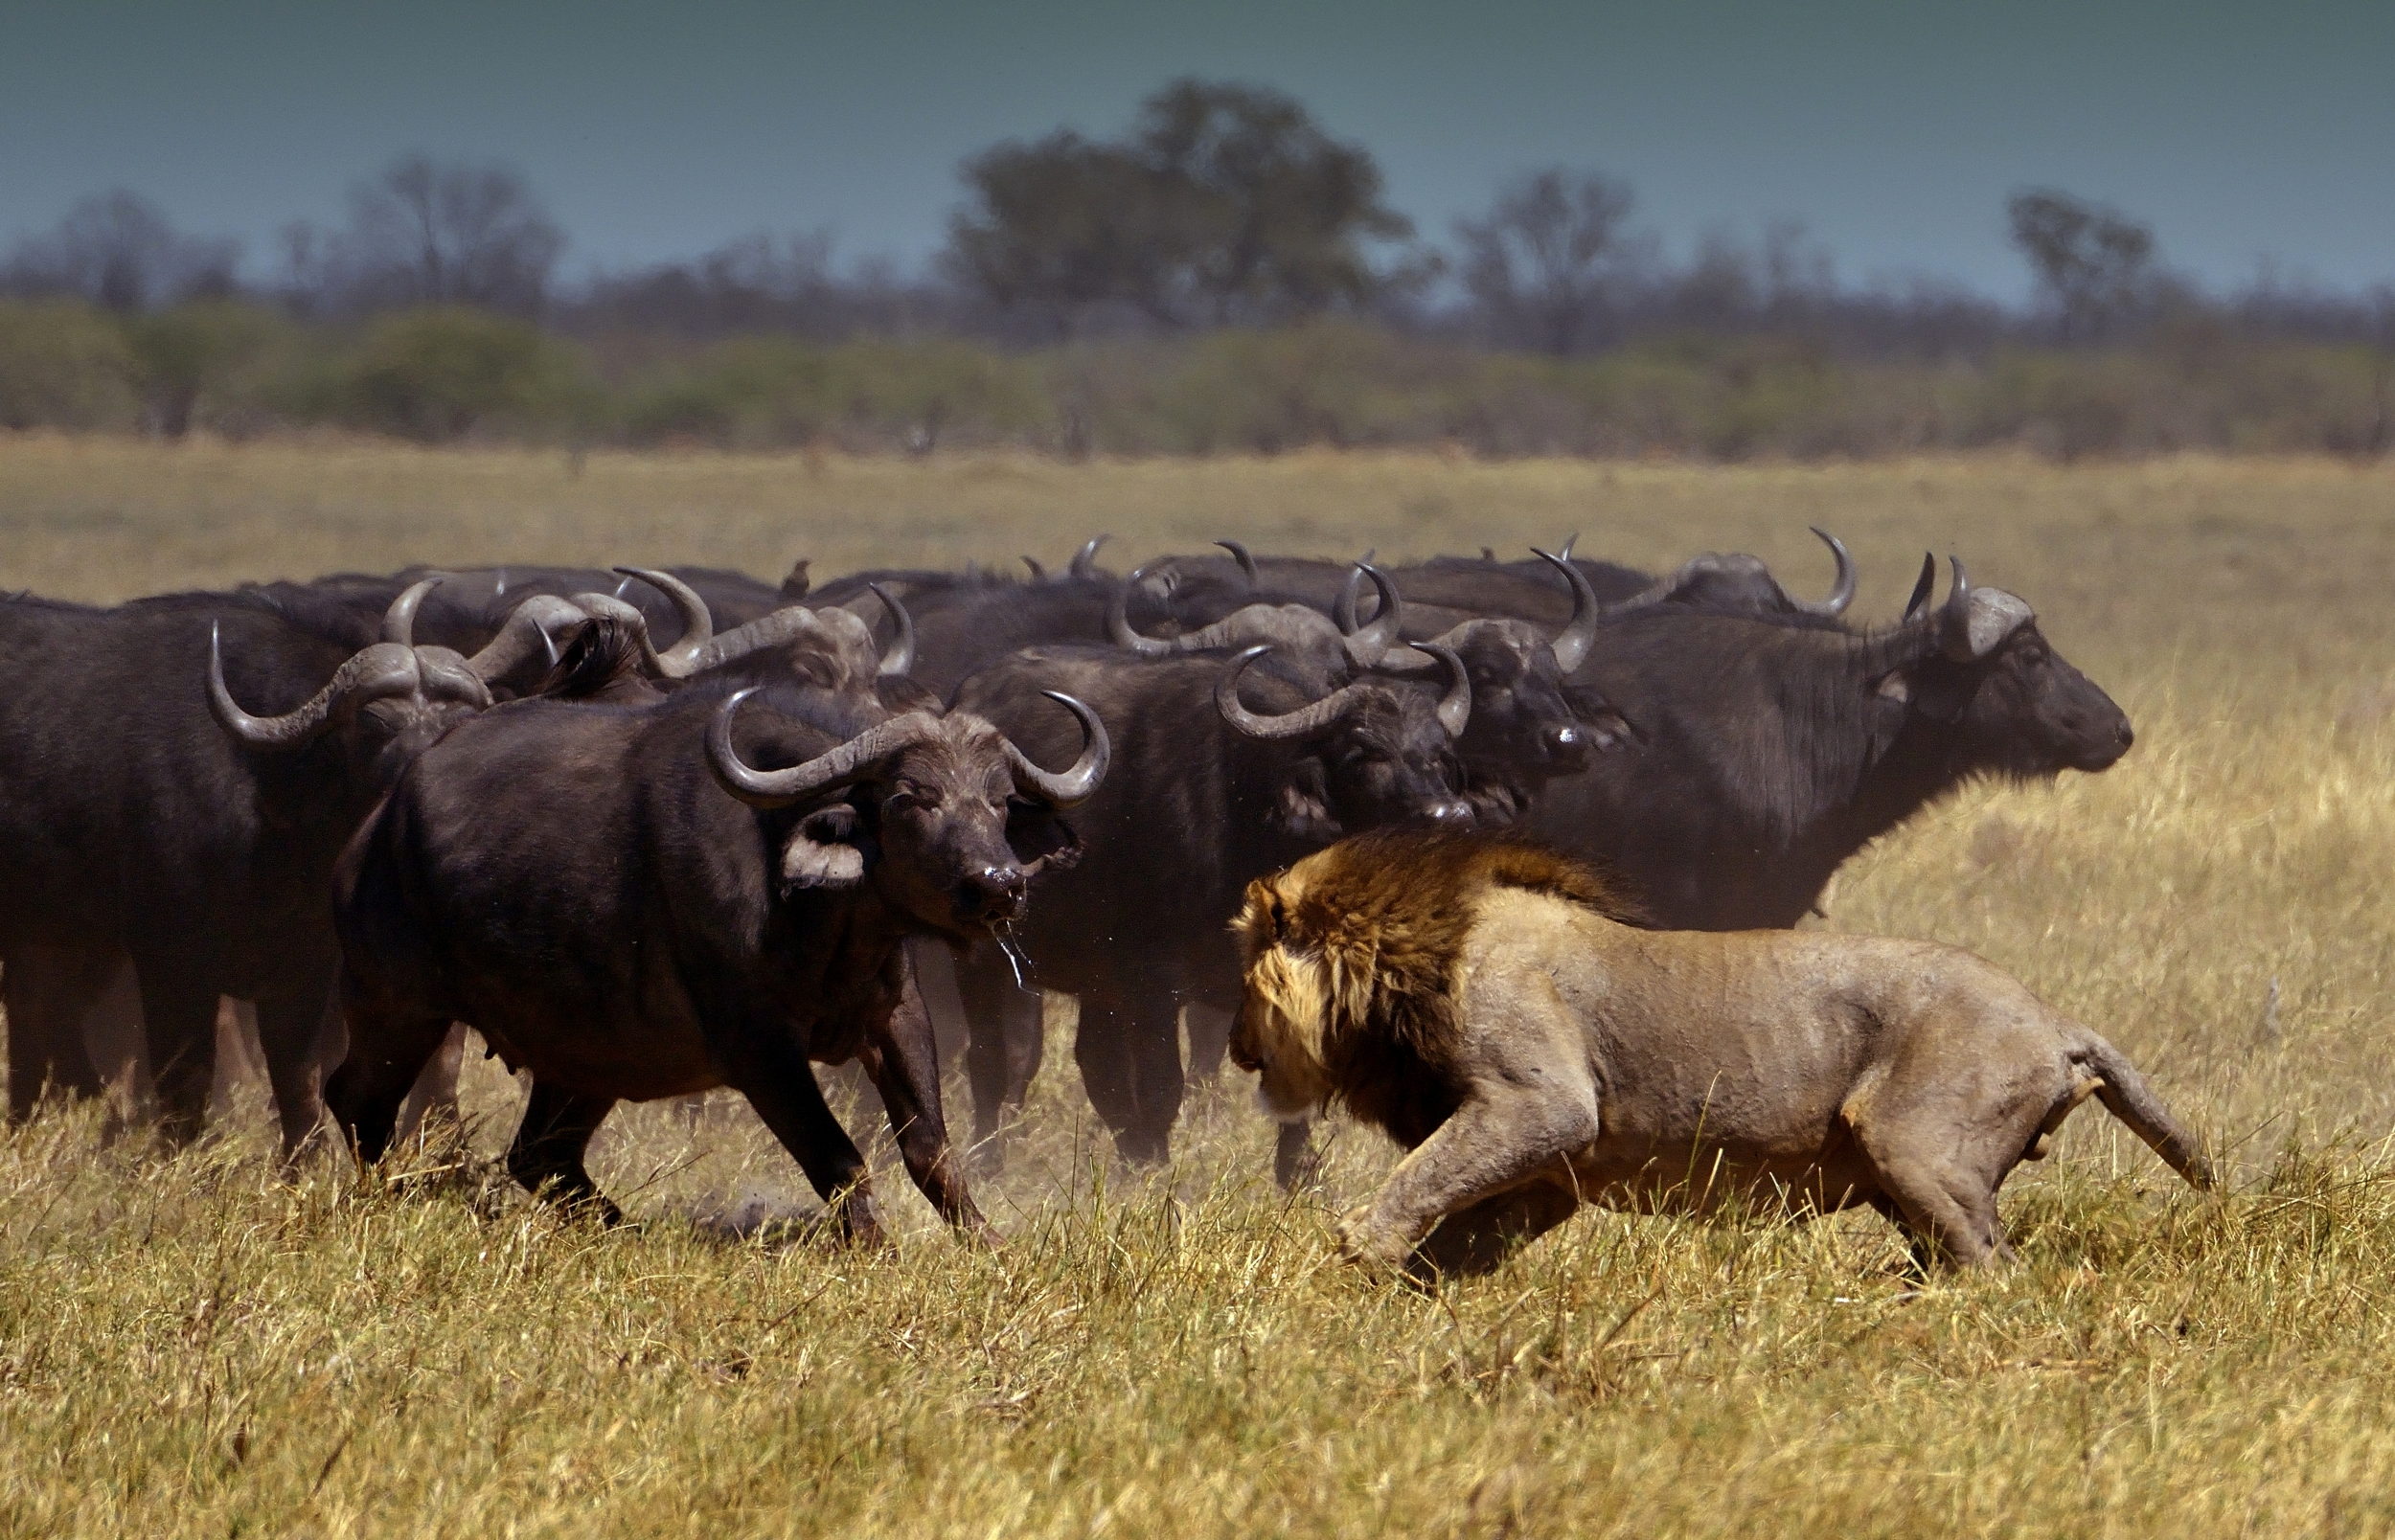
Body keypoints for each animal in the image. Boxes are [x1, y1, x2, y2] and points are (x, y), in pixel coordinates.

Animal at [1230, 829, 2214, 1276]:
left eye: (1243, 985)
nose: (1237, 1051)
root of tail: (2055, 1020)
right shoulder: (1550, 1172)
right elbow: (1460, 1233)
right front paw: (1414, 1298)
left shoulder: (1539, 1103)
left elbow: (1421, 1179)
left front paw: (1357, 1255)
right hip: (1906, 1179)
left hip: (1919, 1148)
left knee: (2000, 1272)